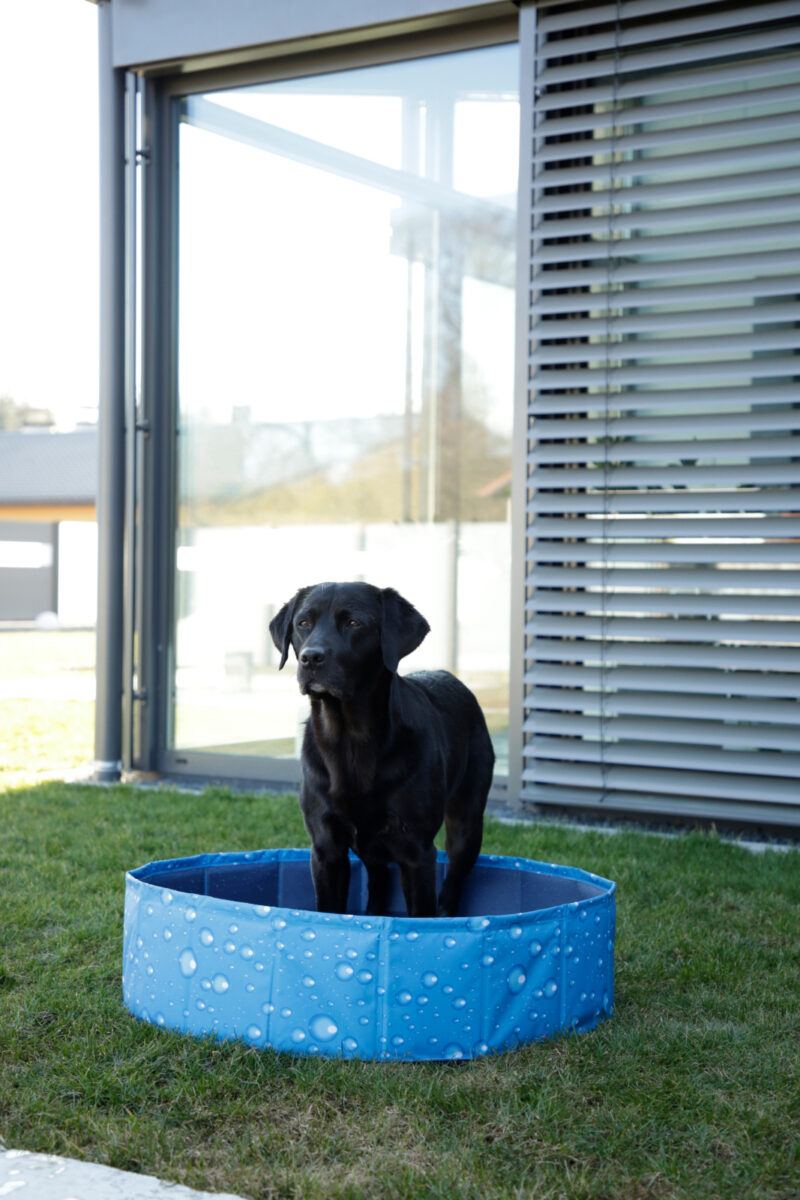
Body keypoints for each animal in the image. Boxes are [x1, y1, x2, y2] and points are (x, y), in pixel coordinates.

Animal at [268, 580, 494, 916]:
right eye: (303, 623)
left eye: (354, 623)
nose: (310, 658)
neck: (350, 740)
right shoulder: (325, 849)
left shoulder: (417, 851)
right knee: (378, 878)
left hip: (467, 822)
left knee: (452, 881)